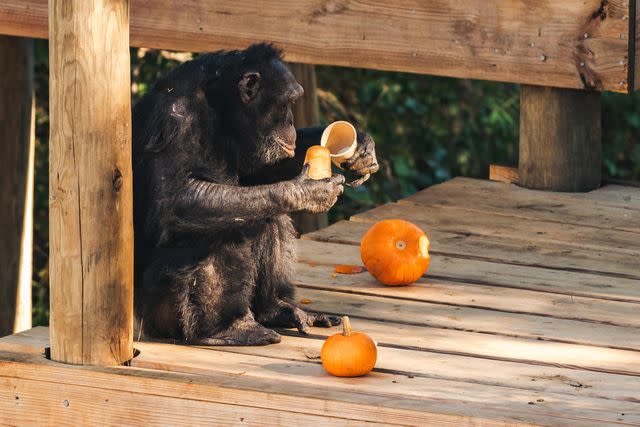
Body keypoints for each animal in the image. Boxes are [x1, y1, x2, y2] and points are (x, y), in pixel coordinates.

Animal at [132, 43, 378, 346]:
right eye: (286, 103)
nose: (291, 122)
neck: (220, 107)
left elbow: (258, 173)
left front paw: (361, 148)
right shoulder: (174, 119)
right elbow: (174, 200)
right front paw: (306, 192)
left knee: (266, 217)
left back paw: (279, 309)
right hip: (159, 313)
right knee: (218, 227)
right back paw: (229, 328)